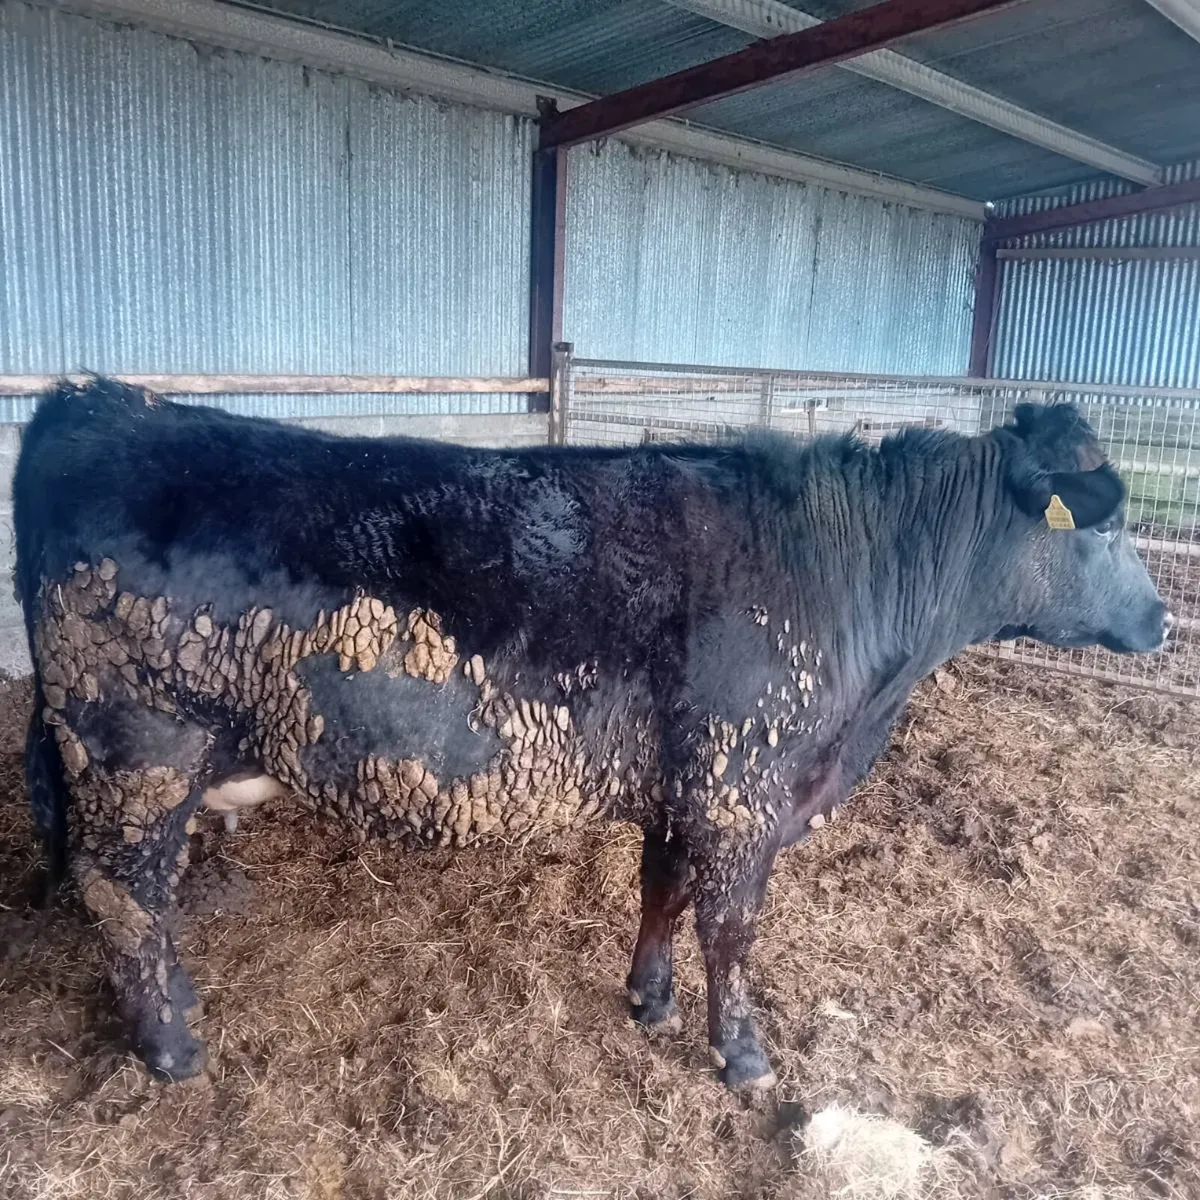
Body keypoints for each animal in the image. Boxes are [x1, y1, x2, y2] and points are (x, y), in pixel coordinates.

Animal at [14, 377, 1170, 1089]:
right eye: (1107, 523)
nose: (1162, 621)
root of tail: (93, 401)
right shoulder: (743, 786)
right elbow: (731, 925)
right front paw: (741, 1056)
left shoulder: (688, 780)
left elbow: (662, 890)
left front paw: (648, 1000)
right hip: (133, 748)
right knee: (120, 889)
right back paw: (172, 1046)